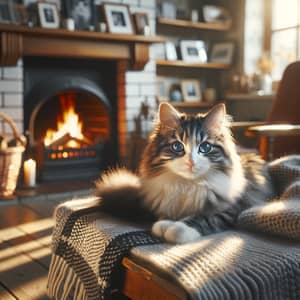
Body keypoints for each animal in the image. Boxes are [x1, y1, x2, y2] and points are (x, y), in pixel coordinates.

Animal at [95, 102, 274, 244]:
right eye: (177, 146)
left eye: (205, 147)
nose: (191, 162)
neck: (187, 184)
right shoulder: (167, 202)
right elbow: (163, 216)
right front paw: (164, 225)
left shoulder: (230, 208)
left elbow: (202, 219)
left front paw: (177, 229)